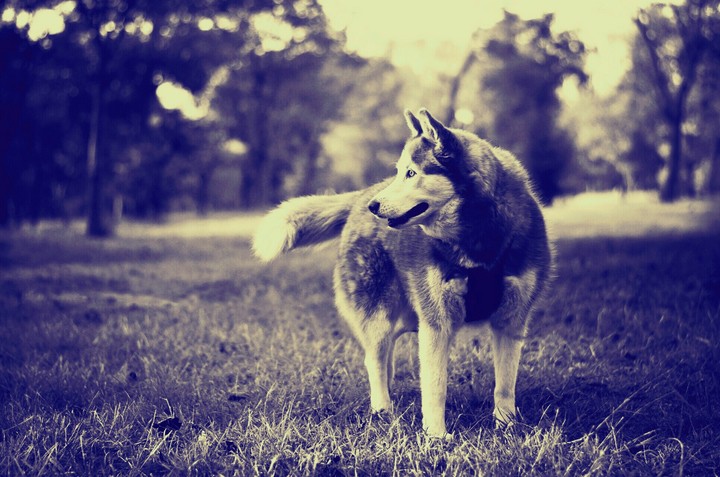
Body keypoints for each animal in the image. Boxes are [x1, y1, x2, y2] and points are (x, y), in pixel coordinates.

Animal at [252, 109, 552, 437]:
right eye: (400, 171)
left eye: (411, 173)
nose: (374, 206)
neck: (477, 241)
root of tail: (362, 195)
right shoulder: (436, 322)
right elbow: (435, 386)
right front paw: (436, 436)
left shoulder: (511, 318)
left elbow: (504, 384)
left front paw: (506, 424)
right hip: (379, 313)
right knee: (374, 358)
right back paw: (382, 407)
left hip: (407, 314)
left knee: (386, 356)